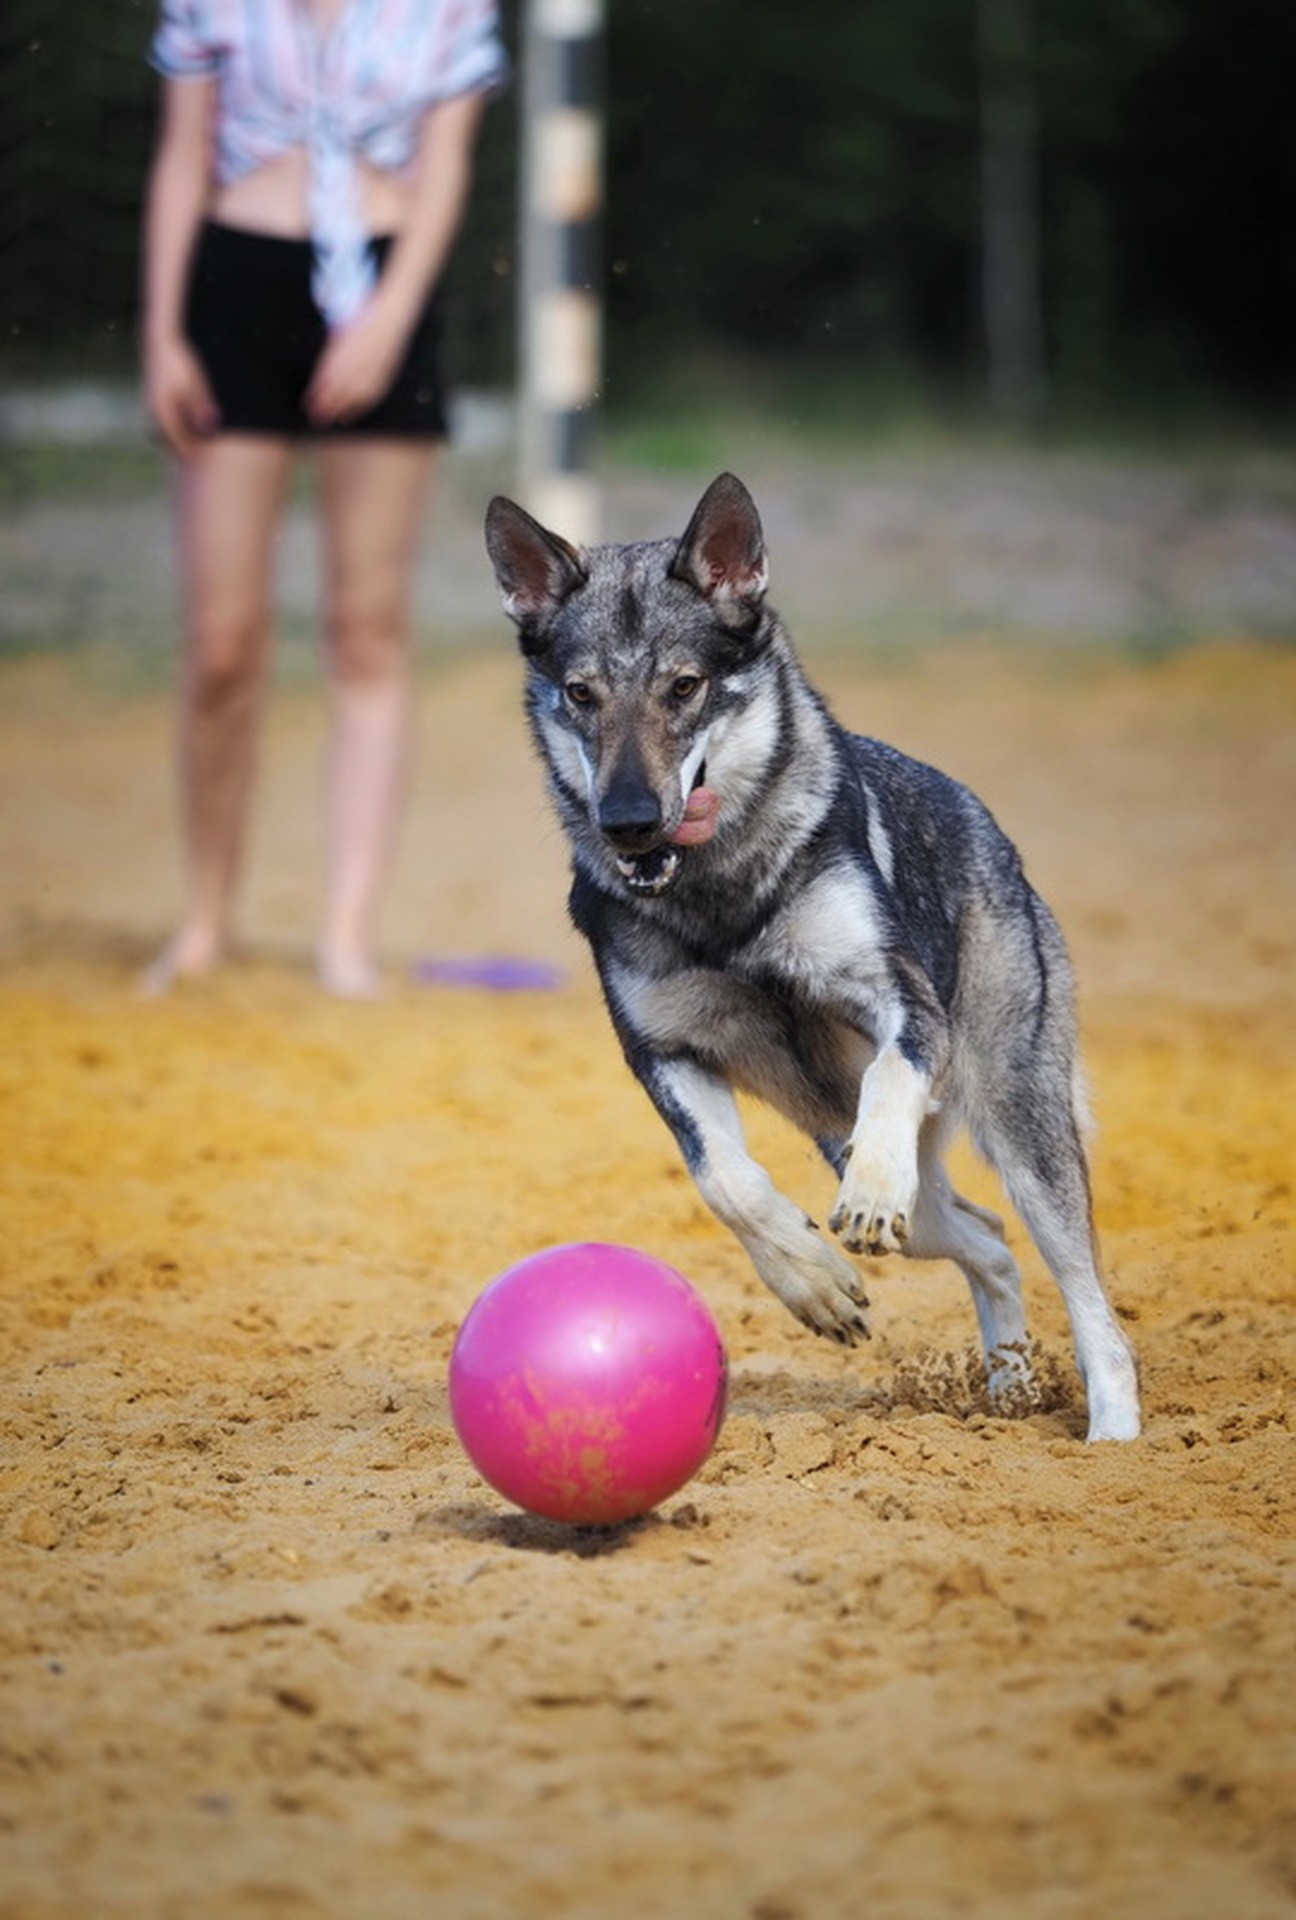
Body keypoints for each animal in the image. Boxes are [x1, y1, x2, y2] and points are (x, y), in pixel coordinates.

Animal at [481, 476, 1144, 1443]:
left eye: (685, 687)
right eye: (580, 693)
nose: (629, 822)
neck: (721, 897)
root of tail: (988, 827)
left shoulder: (902, 1004)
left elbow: (891, 1080)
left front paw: (866, 1200)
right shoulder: (662, 1053)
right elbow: (723, 1178)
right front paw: (815, 1282)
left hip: (1019, 1123)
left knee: (1086, 1291)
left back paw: (1112, 1433)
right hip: (892, 1177)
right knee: (986, 1239)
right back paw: (1008, 1387)